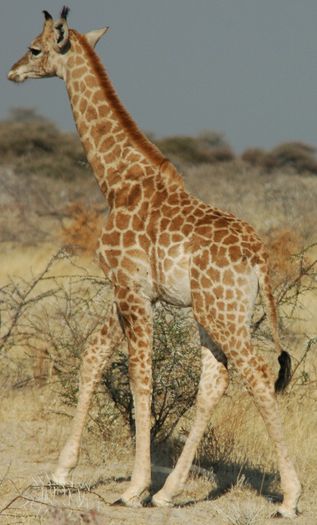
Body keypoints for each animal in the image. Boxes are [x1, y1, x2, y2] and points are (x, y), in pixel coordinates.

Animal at [6, 7, 298, 516]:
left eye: (35, 48)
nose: (13, 71)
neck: (117, 181)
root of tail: (260, 257)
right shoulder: (128, 289)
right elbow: (94, 355)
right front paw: (62, 472)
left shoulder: (130, 288)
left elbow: (141, 375)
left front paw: (132, 487)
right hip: (214, 313)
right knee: (215, 381)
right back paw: (169, 492)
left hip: (221, 314)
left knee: (258, 375)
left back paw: (288, 498)